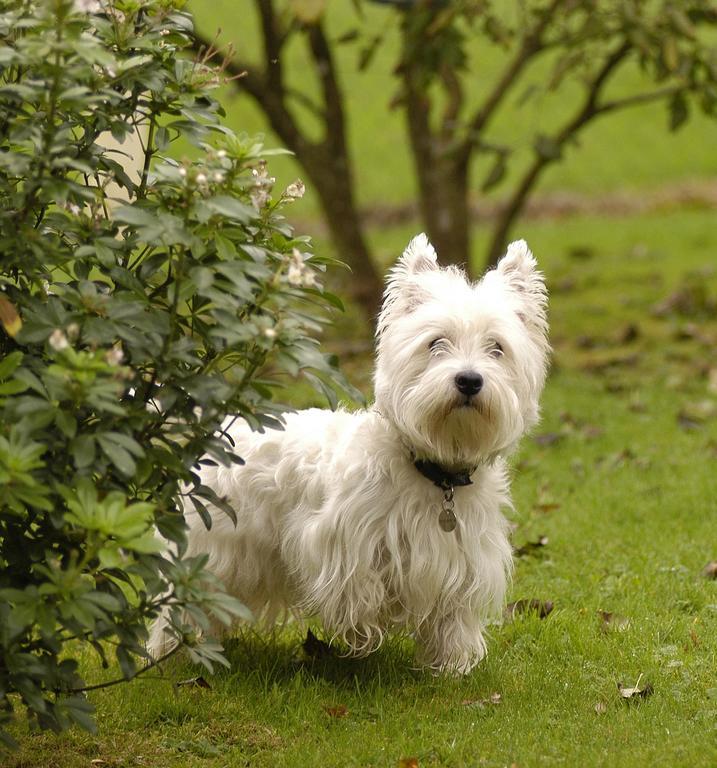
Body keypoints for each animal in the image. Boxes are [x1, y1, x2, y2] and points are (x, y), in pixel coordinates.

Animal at [148, 234, 544, 672]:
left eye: (497, 348)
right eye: (435, 343)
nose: (469, 380)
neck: (435, 472)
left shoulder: (465, 557)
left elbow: (452, 615)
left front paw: (451, 666)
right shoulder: (345, 540)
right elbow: (359, 591)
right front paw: (364, 630)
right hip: (212, 546)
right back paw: (170, 654)